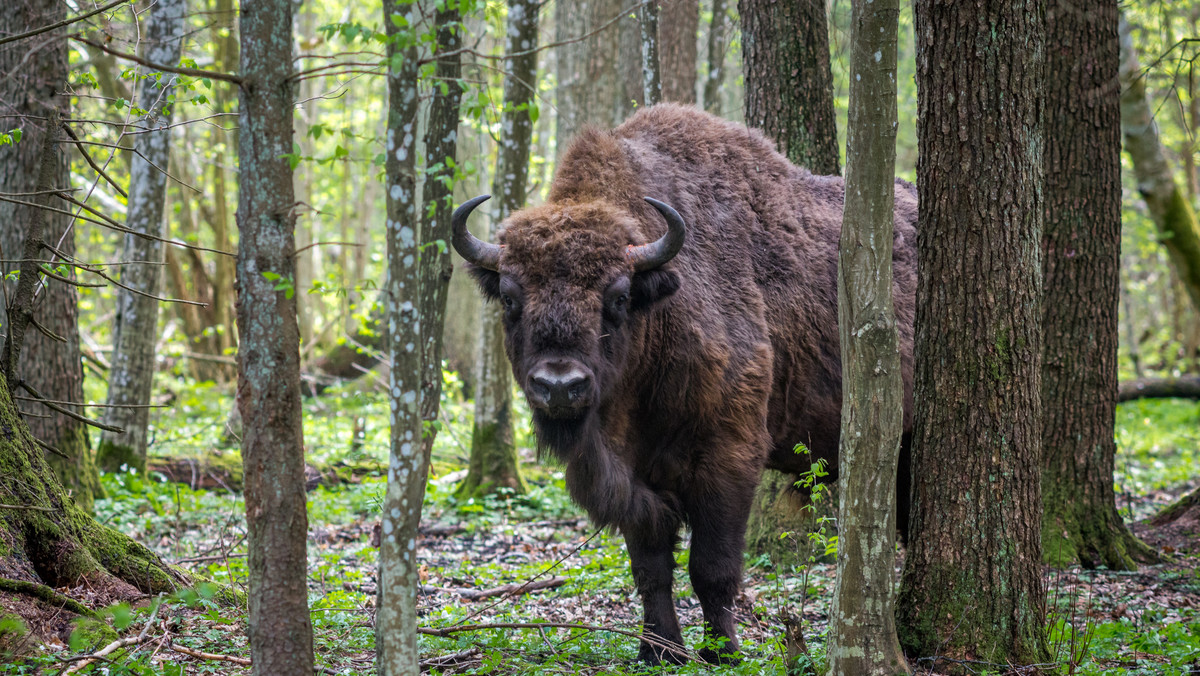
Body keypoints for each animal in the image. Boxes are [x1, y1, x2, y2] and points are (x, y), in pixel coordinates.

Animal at [453, 103, 912, 662]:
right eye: (511, 298)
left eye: (619, 297)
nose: (560, 386)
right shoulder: (636, 476)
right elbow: (651, 569)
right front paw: (659, 649)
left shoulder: (729, 459)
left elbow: (712, 568)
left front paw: (723, 651)